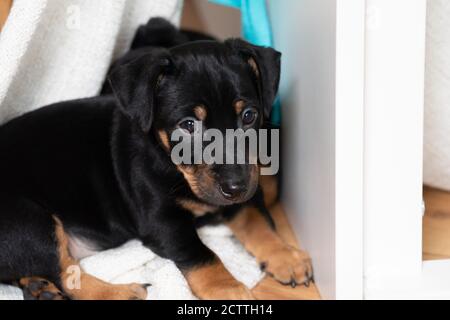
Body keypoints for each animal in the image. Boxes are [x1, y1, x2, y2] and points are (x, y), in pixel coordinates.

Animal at [0, 19, 312, 300]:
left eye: (248, 116)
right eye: (188, 125)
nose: (235, 188)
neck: (171, 164)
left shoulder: (243, 191)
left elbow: (258, 221)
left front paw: (286, 256)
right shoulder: (162, 221)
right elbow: (202, 253)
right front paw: (228, 289)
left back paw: (39, 288)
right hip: (30, 223)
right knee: (66, 275)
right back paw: (120, 293)